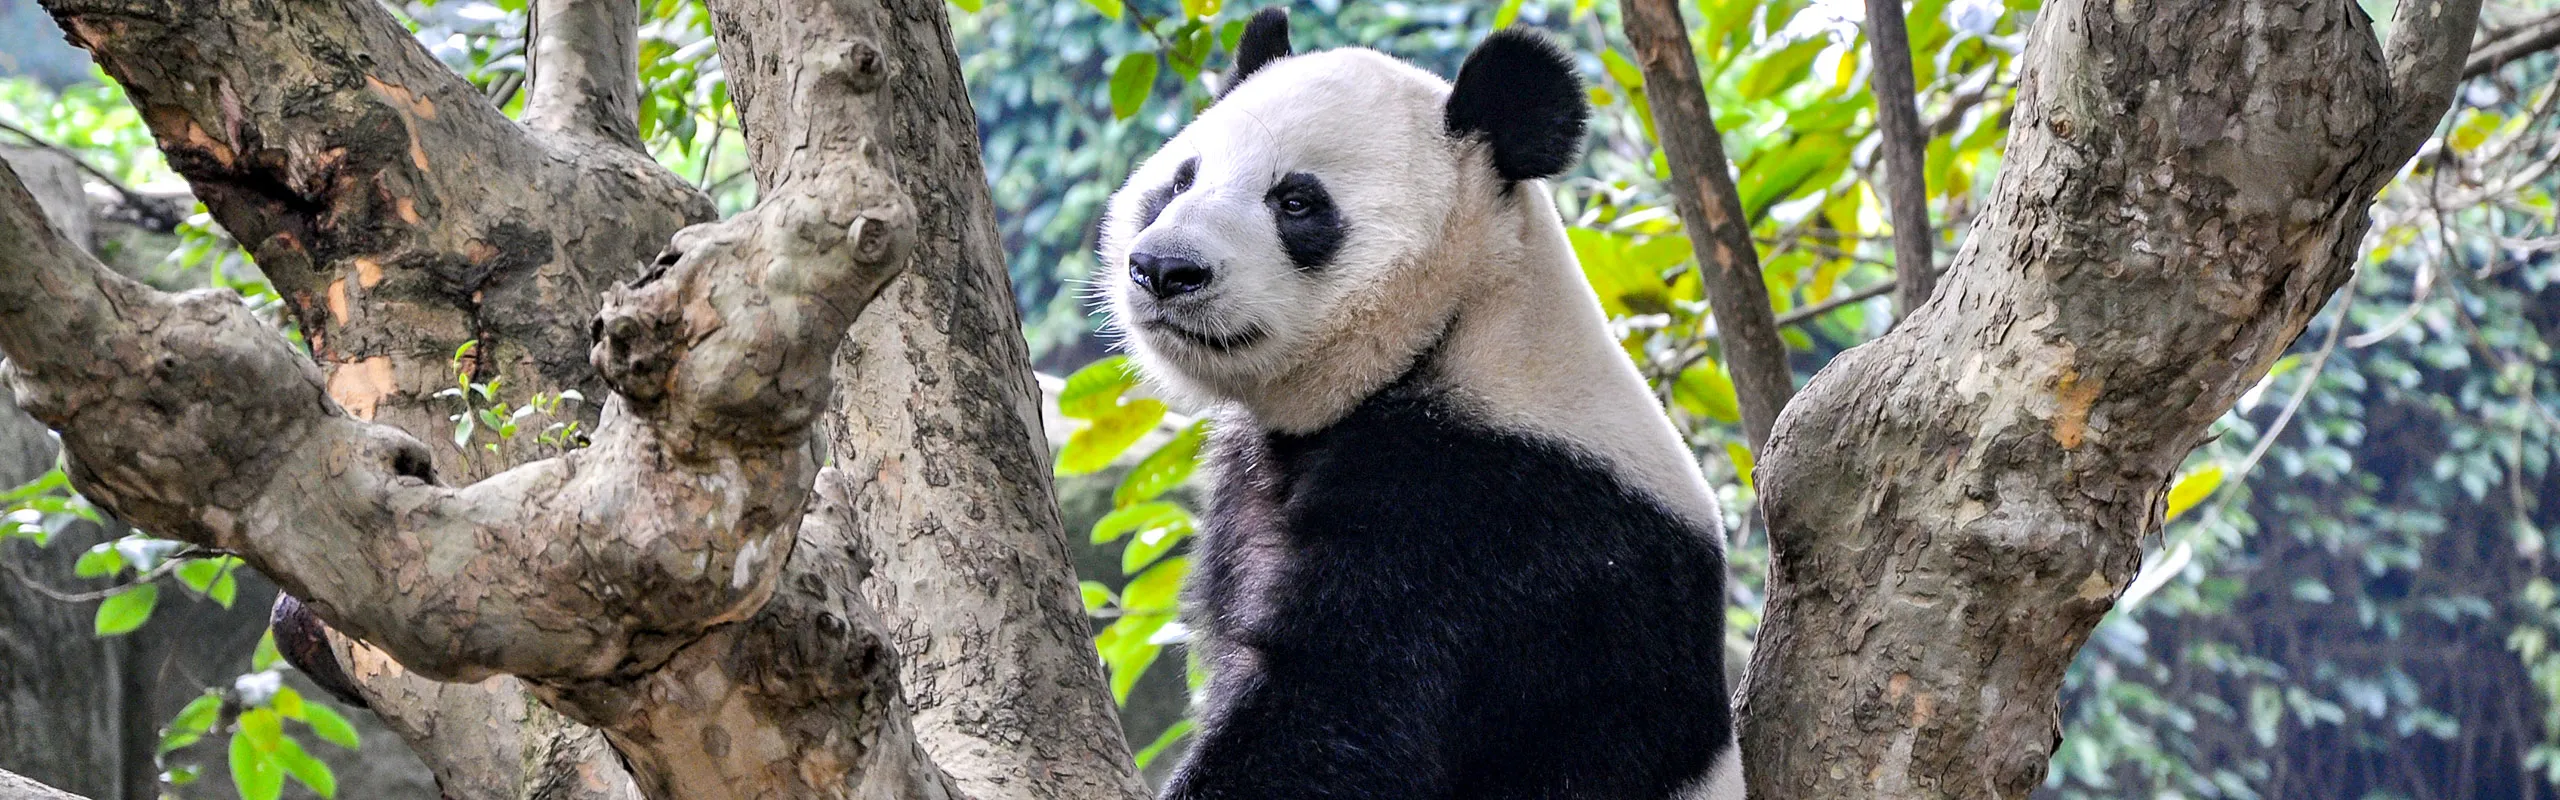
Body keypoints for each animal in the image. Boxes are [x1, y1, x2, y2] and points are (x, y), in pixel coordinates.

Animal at [1095, 8, 1743, 800]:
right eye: (1181, 181)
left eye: (1296, 201)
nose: (1163, 269)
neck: (1461, 325)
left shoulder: (1492, 517)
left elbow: (1345, 712)